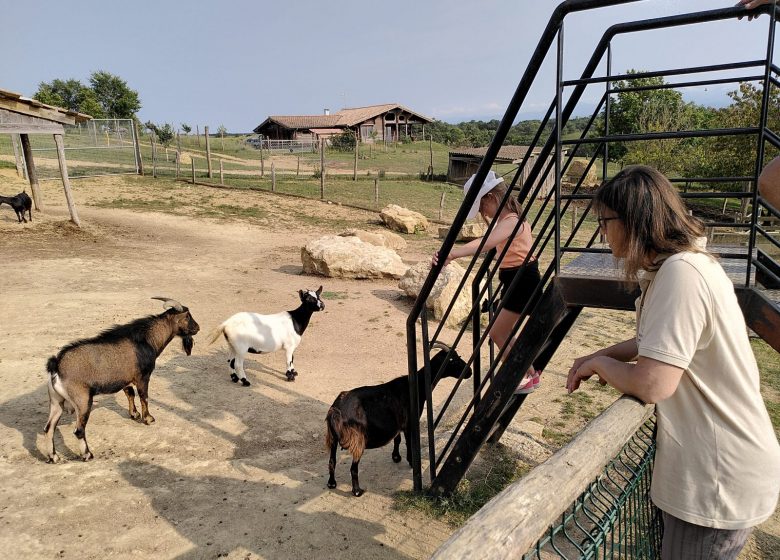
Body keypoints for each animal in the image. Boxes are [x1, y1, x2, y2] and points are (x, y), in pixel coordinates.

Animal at [43, 298, 200, 464]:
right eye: (187, 315)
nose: (197, 328)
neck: (147, 338)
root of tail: (56, 365)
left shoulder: (125, 379)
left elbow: (130, 394)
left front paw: (134, 414)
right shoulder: (143, 377)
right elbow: (144, 397)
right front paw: (148, 418)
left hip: (56, 402)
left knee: (49, 428)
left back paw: (54, 457)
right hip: (83, 401)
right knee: (78, 430)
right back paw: (87, 455)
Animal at [326, 344, 472, 496]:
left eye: (458, 356)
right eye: (452, 360)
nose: (470, 372)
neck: (417, 385)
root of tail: (336, 411)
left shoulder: (397, 423)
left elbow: (397, 439)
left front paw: (396, 457)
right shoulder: (409, 422)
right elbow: (408, 442)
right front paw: (411, 462)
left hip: (333, 438)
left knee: (332, 461)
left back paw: (332, 483)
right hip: (357, 440)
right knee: (353, 468)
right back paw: (357, 491)